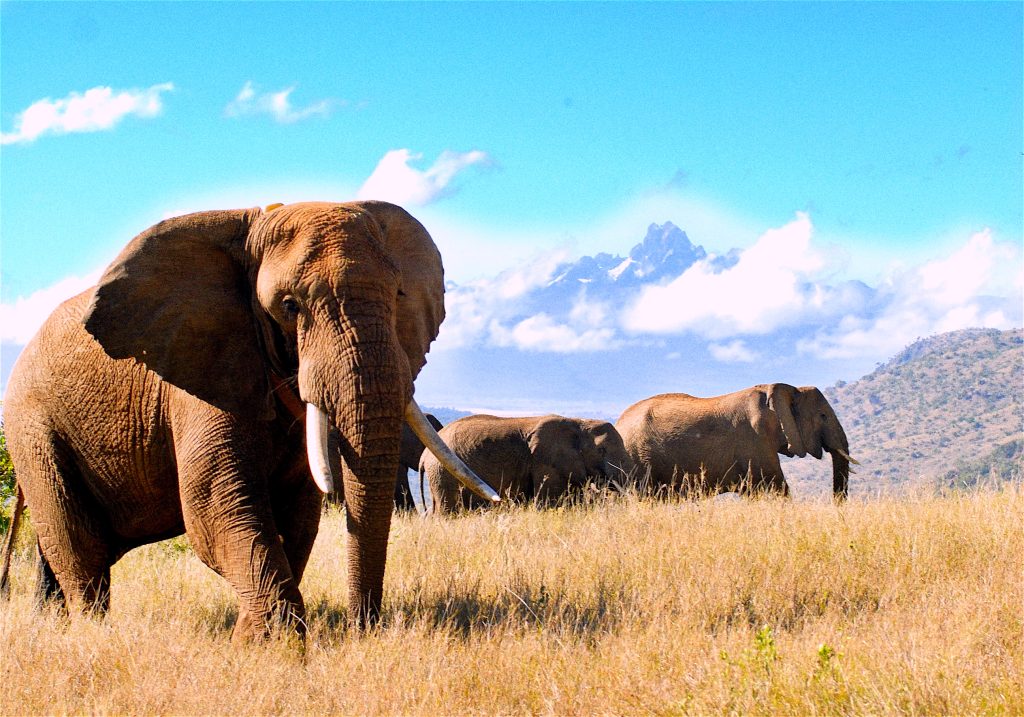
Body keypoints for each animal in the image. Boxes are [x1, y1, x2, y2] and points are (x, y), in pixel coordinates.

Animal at [0, 201, 496, 642]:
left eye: (398, 296)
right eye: (291, 307)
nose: (365, 629)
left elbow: (298, 515)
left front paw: (256, 635)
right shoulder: (201, 369)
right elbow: (214, 505)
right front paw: (270, 643)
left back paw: (51, 627)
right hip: (33, 427)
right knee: (77, 543)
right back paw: (92, 636)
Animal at [420, 414, 628, 514]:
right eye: (601, 451)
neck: (579, 423)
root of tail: (424, 457)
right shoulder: (547, 461)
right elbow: (551, 503)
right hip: (443, 474)